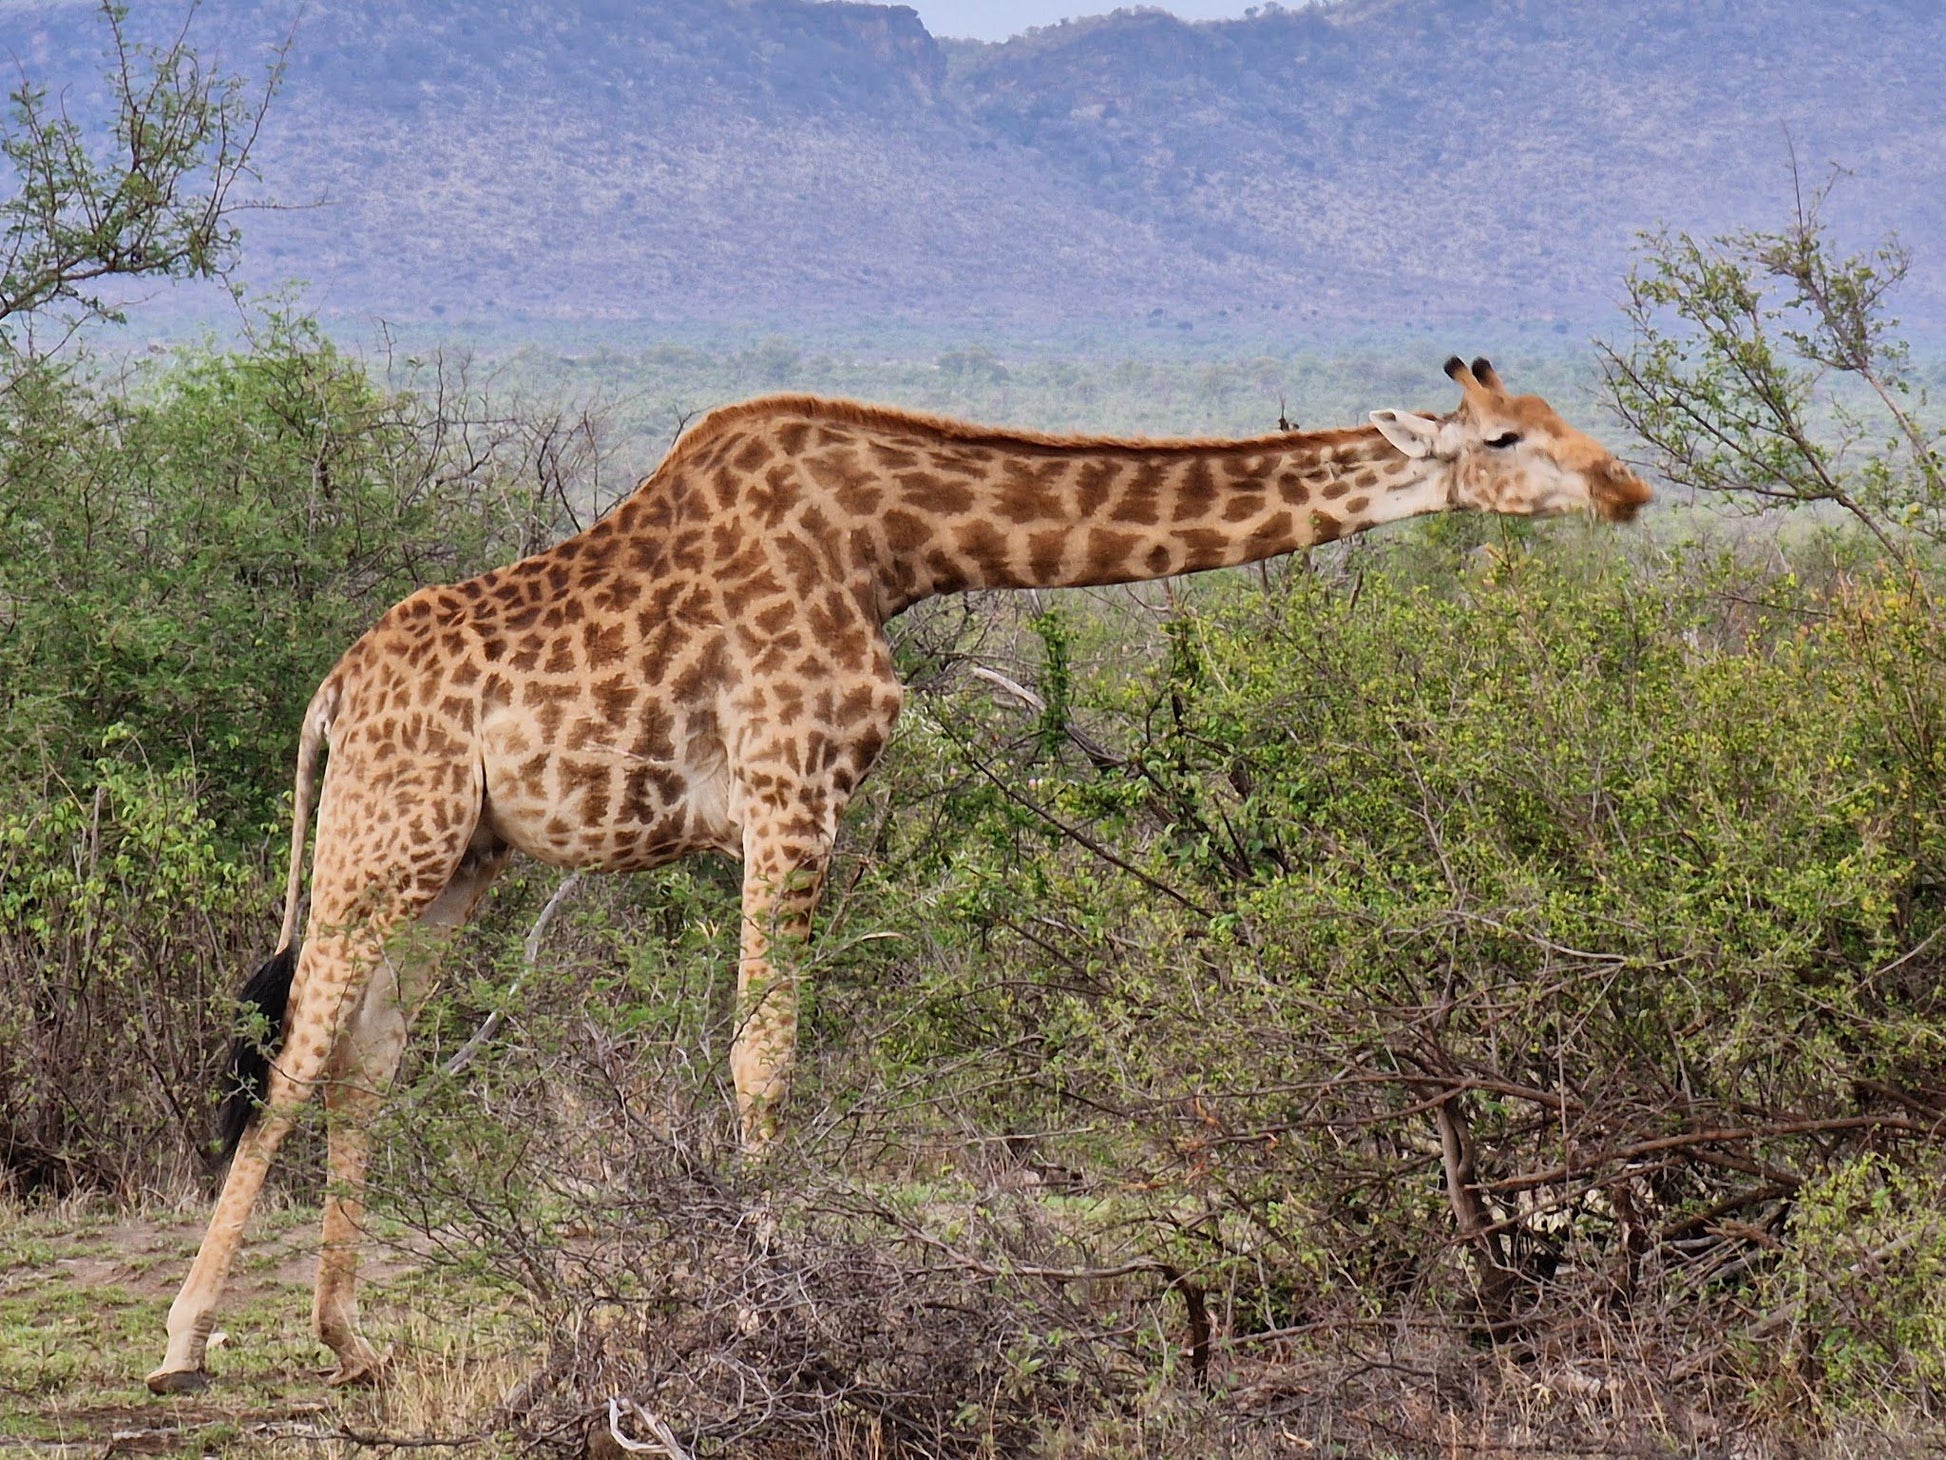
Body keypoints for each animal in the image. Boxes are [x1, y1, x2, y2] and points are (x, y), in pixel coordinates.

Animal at [144, 354, 1650, 1393]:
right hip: (381, 838)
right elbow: (762, 1056)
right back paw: (184, 1340)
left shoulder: (789, 804)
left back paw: (349, 1343)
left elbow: (762, 1052)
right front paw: (759, 1311)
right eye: (1505, 435)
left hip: (463, 858)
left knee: (365, 1051)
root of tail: (331, 692)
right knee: (294, 1045)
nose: (1627, 487)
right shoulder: (785, 789)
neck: (894, 542)